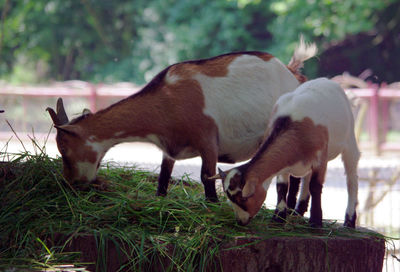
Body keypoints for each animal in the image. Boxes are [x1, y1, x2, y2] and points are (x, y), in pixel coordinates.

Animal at [47, 42, 318, 202]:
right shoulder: (170, 148)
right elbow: (163, 178)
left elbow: (206, 176)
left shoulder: (208, 139)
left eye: (64, 150)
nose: (71, 182)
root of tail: (293, 74)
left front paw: (212, 204)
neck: (166, 100)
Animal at [214, 77, 360, 226]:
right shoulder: (284, 163)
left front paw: (315, 221)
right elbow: (282, 186)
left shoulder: (320, 158)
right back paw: (298, 210)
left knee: (351, 179)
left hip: (350, 141)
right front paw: (279, 215)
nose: (240, 221)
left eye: (243, 199)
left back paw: (349, 220)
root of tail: (327, 80)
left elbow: (315, 186)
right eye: (230, 198)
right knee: (306, 179)